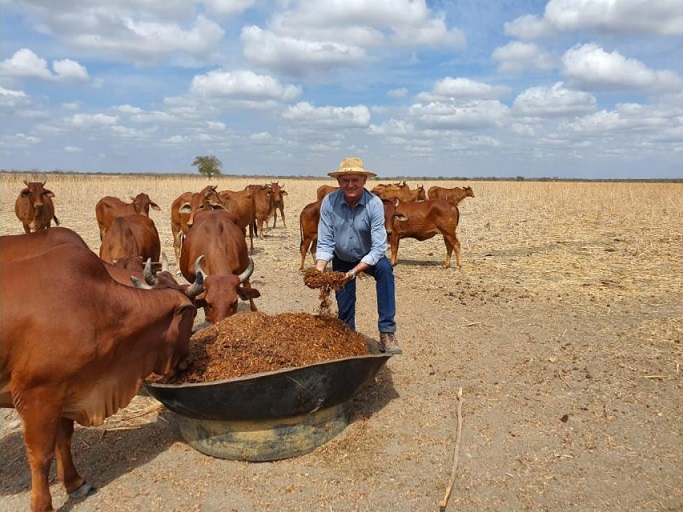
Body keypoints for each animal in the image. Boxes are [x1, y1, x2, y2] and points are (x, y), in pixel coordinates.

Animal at [0, 241, 198, 512]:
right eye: (193, 315)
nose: (189, 361)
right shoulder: (38, 396)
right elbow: (41, 456)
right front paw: (43, 505)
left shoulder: (67, 391)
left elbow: (64, 439)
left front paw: (74, 482)